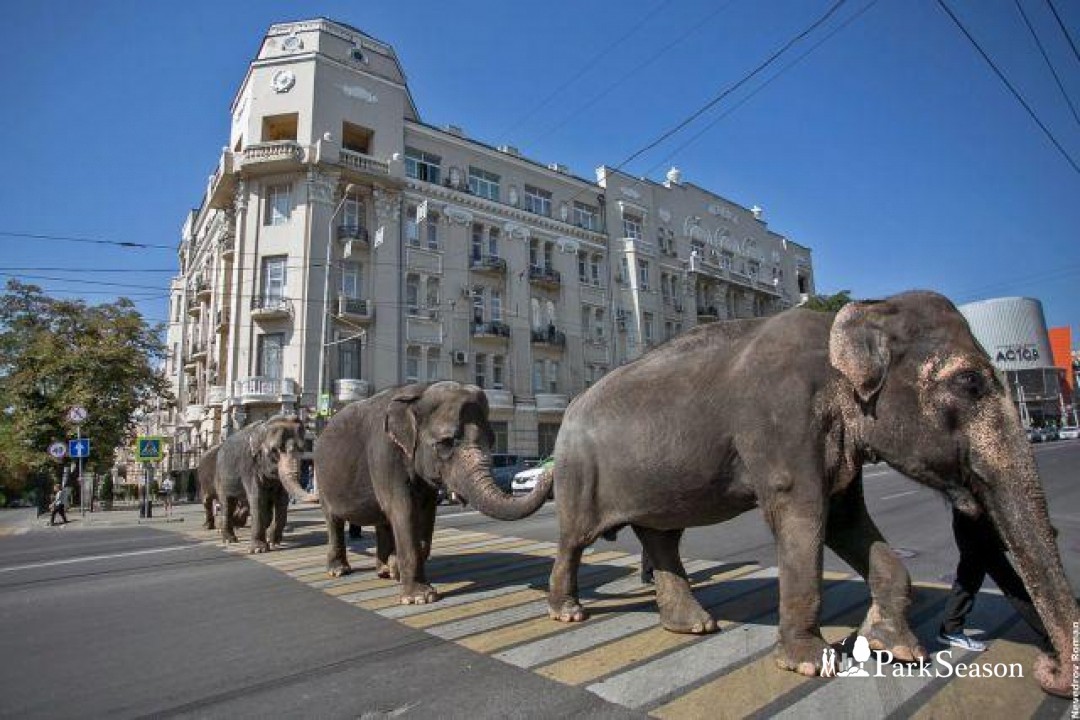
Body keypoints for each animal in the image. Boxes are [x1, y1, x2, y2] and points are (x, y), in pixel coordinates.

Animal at [212, 414, 311, 557]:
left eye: (302, 449)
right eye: (275, 450)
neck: (264, 428)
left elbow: (282, 500)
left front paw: (273, 542)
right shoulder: (249, 466)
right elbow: (257, 498)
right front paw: (259, 550)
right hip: (221, 476)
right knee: (227, 503)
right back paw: (229, 540)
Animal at [315, 382, 552, 608]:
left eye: (493, 441)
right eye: (445, 443)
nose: (547, 469)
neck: (419, 393)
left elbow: (426, 513)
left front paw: (398, 569)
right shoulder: (384, 453)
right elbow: (403, 509)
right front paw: (421, 598)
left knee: (383, 520)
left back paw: (384, 571)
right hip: (322, 479)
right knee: (333, 521)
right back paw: (339, 570)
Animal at [548, 289, 1080, 699]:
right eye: (968, 383)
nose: (1049, 670)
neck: (847, 320)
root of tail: (569, 411)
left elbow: (849, 523)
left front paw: (897, 649)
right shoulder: (783, 418)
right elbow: (803, 512)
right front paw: (810, 662)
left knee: (662, 538)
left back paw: (693, 625)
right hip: (580, 475)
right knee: (576, 539)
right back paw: (568, 612)